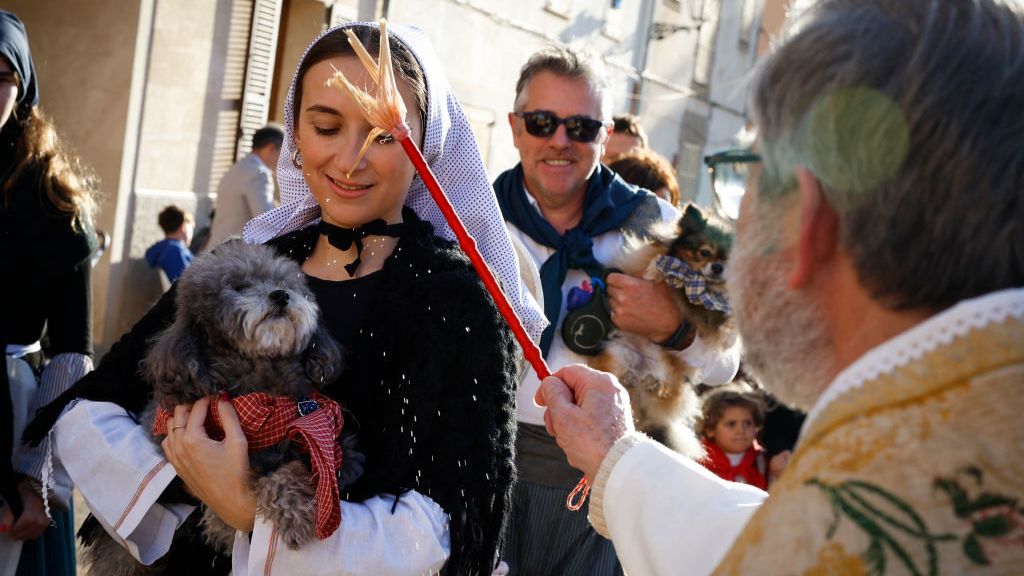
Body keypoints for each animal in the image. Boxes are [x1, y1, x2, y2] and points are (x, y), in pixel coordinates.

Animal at [82, 239, 360, 573]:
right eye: (239, 287)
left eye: (286, 284)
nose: (280, 295)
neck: (260, 389)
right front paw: (289, 513)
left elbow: (312, 460)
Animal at [593, 203, 737, 455]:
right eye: (704, 253)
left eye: (729, 260)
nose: (718, 267)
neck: (694, 282)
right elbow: (658, 263)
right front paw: (659, 272)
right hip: (618, 351)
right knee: (618, 370)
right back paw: (629, 376)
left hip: (668, 370)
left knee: (663, 388)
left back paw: (654, 383)